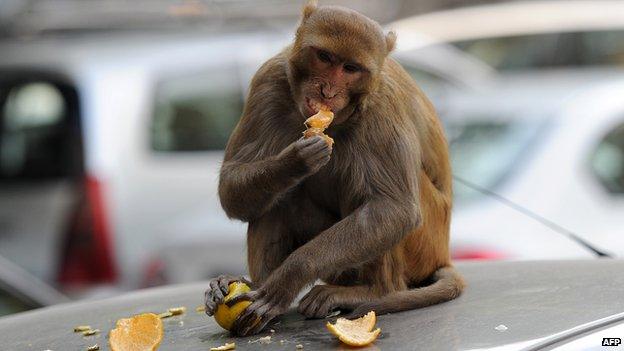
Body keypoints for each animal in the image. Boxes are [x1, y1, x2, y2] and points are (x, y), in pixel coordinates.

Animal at [205, 0, 464, 338]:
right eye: (325, 57)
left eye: (350, 69)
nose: (327, 91)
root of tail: (442, 253)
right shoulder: (268, 81)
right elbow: (231, 185)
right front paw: (293, 162)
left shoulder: (382, 105)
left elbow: (394, 208)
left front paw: (288, 279)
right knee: (280, 198)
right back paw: (256, 287)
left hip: (424, 246)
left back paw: (373, 290)